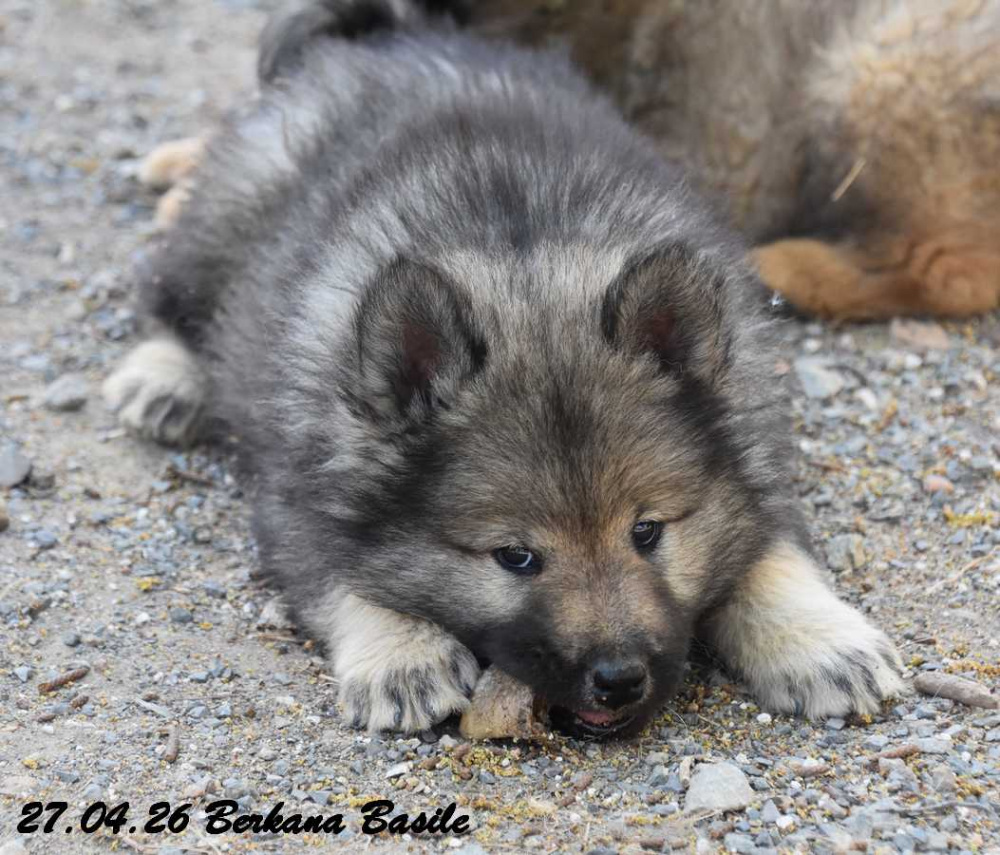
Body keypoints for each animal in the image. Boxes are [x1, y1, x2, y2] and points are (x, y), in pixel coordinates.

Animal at [104, 0, 902, 737]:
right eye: (515, 557)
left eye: (648, 532)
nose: (619, 679)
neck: (525, 261)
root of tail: (387, 38)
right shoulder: (295, 495)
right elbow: (338, 574)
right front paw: (403, 652)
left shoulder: (753, 448)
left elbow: (773, 549)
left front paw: (820, 638)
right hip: (227, 218)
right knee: (168, 289)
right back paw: (166, 379)